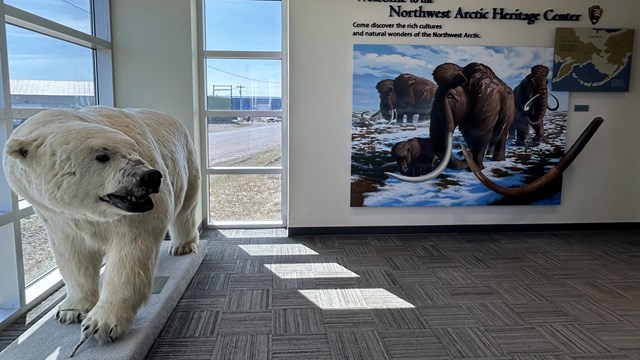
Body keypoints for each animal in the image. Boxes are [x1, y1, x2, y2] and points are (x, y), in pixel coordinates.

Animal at [1, 106, 200, 344]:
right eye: (102, 156)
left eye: (134, 149)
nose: (150, 176)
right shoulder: (57, 216)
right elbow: (73, 254)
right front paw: (70, 311)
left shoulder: (134, 213)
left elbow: (131, 249)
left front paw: (101, 324)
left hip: (186, 157)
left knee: (186, 206)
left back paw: (182, 246)